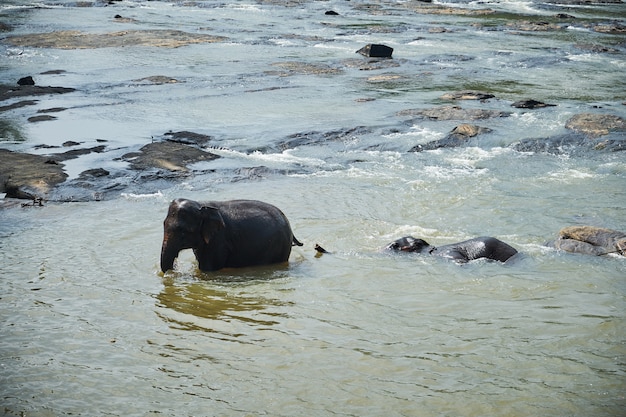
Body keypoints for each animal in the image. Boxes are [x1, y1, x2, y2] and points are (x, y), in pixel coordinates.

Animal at [161, 197, 302, 272]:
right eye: (163, 224)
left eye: (183, 232)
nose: (174, 269)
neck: (201, 204)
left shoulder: (218, 241)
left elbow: (207, 269)